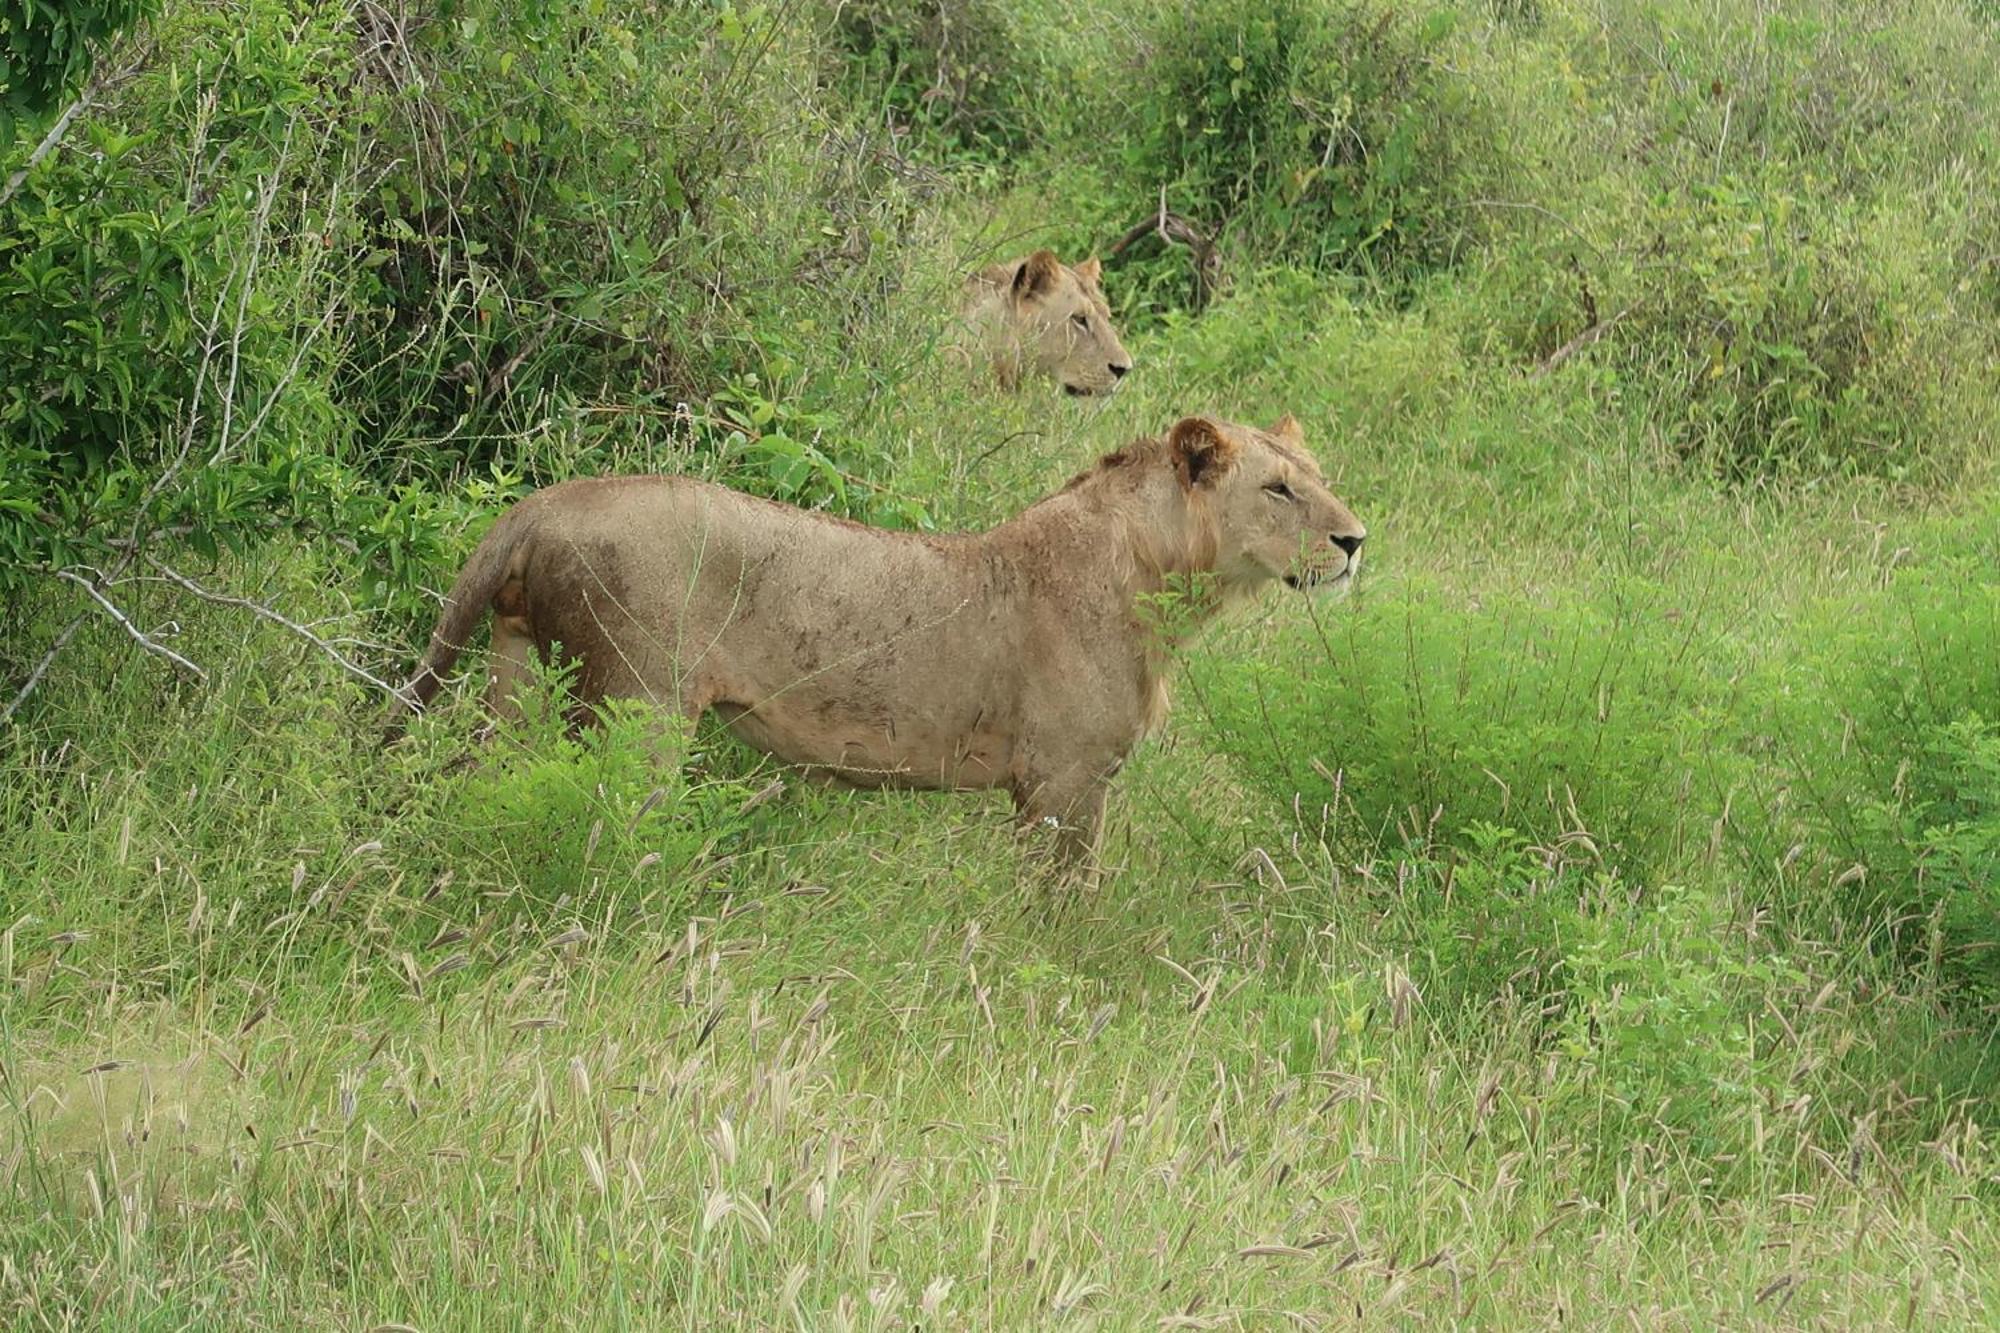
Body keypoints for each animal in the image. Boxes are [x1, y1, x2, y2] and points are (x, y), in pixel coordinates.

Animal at [390, 412, 1360, 860]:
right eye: (1279, 489)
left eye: (1319, 476)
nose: (1355, 540)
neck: (1161, 580)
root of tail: (545, 501)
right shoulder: (1064, 779)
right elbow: (1061, 906)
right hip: (641, 704)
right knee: (610, 819)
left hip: (517, 673)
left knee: (481, 785)